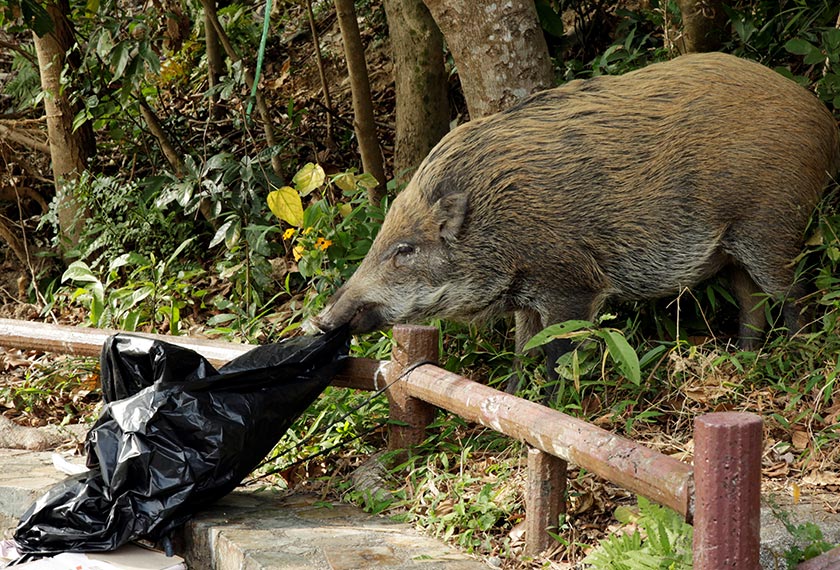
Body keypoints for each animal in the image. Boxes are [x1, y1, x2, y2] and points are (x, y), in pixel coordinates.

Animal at [311, 52, 840, 391]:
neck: (496, 227)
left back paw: (800, 353)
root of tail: (822, 115)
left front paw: (553, 400)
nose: (320, 319)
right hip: (730, 246)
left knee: (794, 293)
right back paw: (744, 356)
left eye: (405, 250)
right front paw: (514, 392)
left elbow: (557, 350)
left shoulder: (570, 281)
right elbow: (523, 348)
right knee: (751, 300)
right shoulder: (525, 296)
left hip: (772, 224)